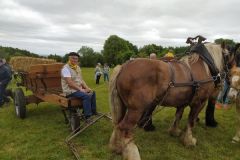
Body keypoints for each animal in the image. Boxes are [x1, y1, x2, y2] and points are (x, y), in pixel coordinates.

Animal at [109, 42, 239, 159]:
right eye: (234, 55)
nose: (233, 75)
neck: (205, 67)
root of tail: (123, 67)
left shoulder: (182, 102)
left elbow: (178, 116)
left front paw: (174, 132)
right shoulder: (199, 102)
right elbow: (191, 121)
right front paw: (189, 140)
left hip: (122, 106)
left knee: (117, 124)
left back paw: (117, 147)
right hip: (136, 110)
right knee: (124, 128)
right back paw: (132, 154)